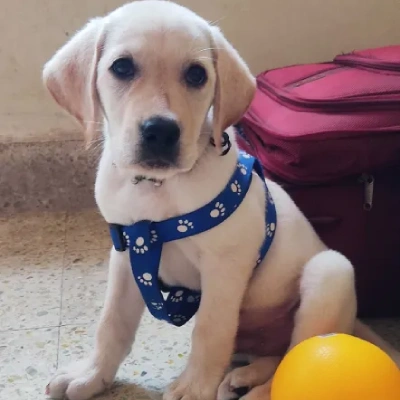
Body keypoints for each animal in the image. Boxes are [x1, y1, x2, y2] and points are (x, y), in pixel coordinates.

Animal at [43, 0, 400, 400]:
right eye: (122, 67)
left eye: (197, 75)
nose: (161, 132)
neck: (158, 188)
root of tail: (353, 323)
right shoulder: (128, 253)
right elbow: (111, 322)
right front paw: (92, 375)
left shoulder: (224, 266)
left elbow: (210, 331)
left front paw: (194, 386)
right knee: (274, 354)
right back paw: (242, 377)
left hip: (330, 272)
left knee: (298, 352)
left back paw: (257, 391)